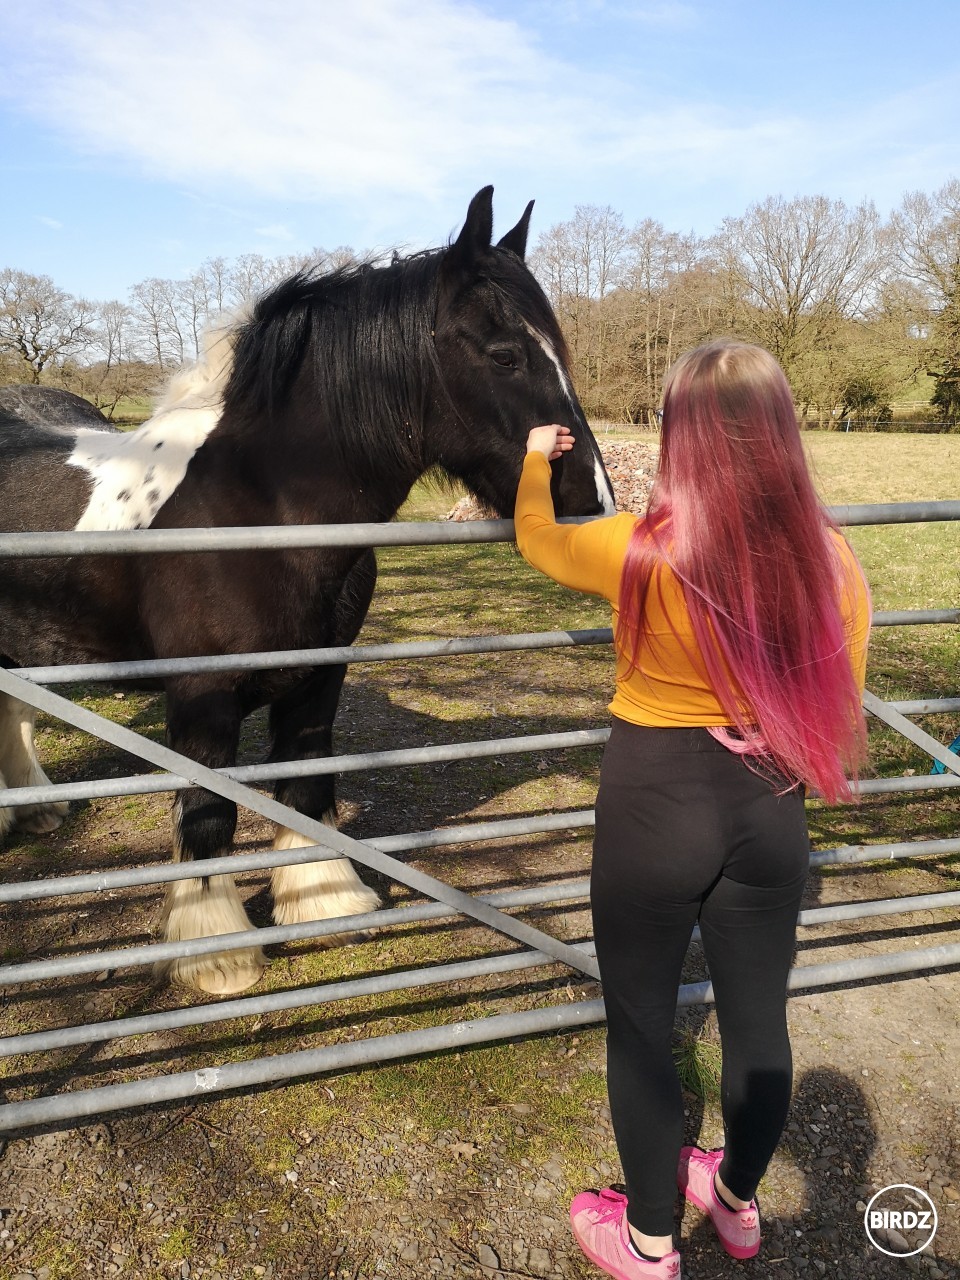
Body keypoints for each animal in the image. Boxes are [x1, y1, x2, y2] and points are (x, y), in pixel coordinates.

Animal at [0, 185, 616, 993]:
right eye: (504, 355)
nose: (592, 502)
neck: (256, 507)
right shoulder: (202, 697)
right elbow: (208, 816)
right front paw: (216, 953)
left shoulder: (319, 676)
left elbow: (306, 786)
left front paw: (325, 901)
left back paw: (33, 811)